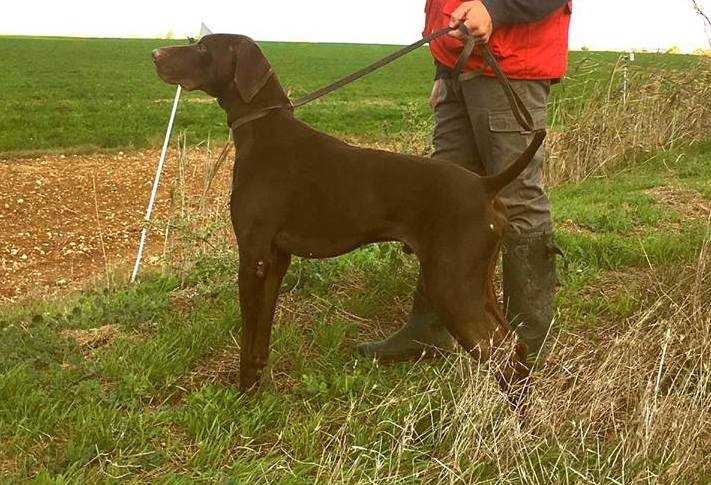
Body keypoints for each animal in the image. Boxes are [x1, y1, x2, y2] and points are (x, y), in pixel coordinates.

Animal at [153, 35, 548, 398]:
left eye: (203, 48)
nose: (155, 53)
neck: (263, 128)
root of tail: (485, 184)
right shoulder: (276, 259)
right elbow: (262, 329)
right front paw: (258, 379)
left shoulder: (253, 256)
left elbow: (249, 330)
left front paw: (244, 391)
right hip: (475, 283)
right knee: (516, 347)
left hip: (452, 286)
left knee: (503, 355)